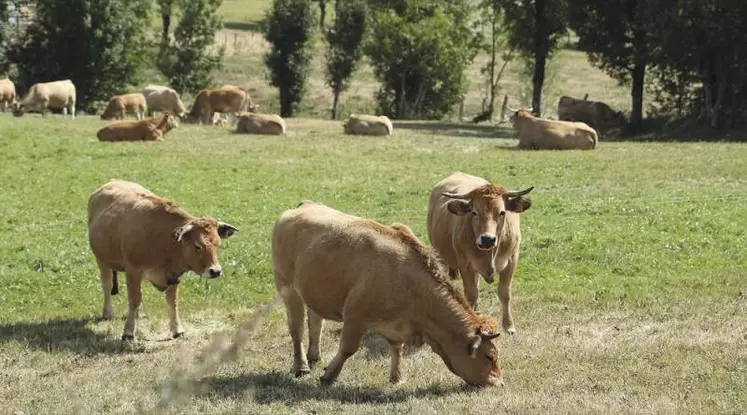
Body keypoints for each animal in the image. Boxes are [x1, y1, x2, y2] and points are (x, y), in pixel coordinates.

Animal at [89, 180, 238, 340]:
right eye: (198, 246)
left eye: (218, 244)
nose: (215, 271)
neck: (164, 241)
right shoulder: (133, 270)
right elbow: (133, 299)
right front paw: (128, 331)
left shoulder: (174, 275)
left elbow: (172, 301)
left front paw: (177, 329)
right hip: (101, 260)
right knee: (107, 285)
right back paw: (108, 312)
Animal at [272, 202, 506, 386]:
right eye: (489, 356)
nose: (499, 383)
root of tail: (303, 206)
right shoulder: (355, 317)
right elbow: (348, 348)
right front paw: (329, 376)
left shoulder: (397, 325)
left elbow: (397, 348)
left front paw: (397, 377)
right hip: (288, 289)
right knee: (296, 329)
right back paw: (301, 366)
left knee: (315, 322)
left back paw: (314, 356)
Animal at [426, 172, 532, 334]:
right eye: (474, 212)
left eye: (502, 212)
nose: (487, 239)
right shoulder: (466, 266)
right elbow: (471, 294)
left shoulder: (511, 261)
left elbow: (504, 293)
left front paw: (509, 326)